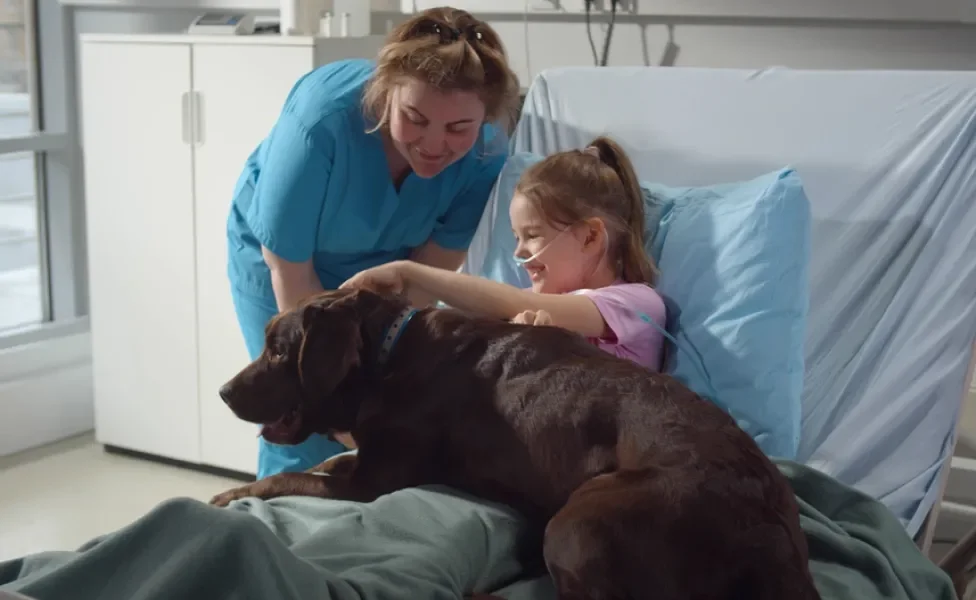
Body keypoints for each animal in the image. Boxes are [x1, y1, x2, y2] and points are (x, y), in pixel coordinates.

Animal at [214, 288, 824, 596]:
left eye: (277, 351)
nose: (222, 391)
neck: (387, 354)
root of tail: (771, 529)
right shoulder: (364, 461)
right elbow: (329, 460)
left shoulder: (374, 484)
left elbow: (293, 476)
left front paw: (226, 496)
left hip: (580, 523)